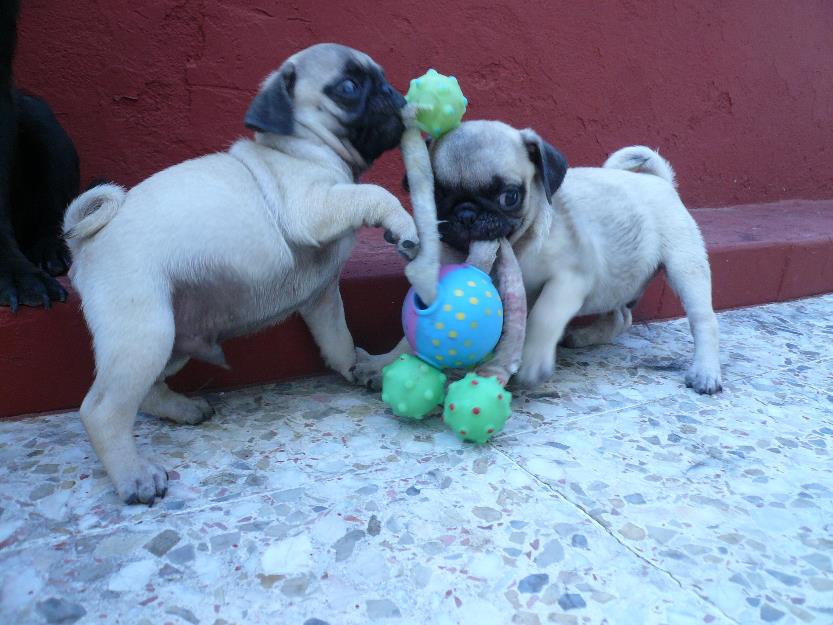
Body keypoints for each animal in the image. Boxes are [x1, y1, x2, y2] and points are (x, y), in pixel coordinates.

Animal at [65, 42, 420, 502]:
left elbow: (338, 339)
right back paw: (134, 476)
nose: (394, 93)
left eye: (383, 77)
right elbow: (374, 192)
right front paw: (405, 225)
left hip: (171, 341)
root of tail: (84, 243)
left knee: (145, 394)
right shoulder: (311, 207)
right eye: (349, 87)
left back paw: (184, 409)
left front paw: (358, 368)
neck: (301, 147)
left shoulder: (322, 297)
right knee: (103, 409)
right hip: (146, 333)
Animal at [352, 120, 720, 394]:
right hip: (617, 281)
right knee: (621, 316)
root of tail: (661, 181)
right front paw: (382, 363)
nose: (466, 213)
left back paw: (705, 371)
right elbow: (408, 335)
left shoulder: (570, 280)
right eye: (437, 195)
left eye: (509, 196)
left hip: (685, 267)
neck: (516, 247)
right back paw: (585, 337)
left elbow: (543, 315)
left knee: (703, 320)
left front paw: (529, 361)